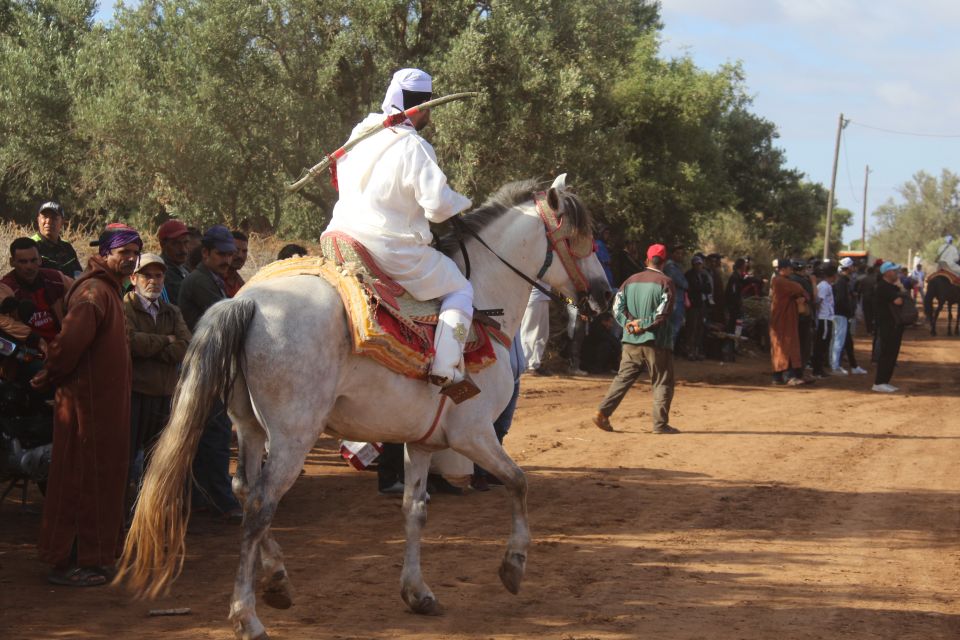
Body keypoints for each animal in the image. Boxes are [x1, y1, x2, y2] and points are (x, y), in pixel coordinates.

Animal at [116, 176, 612, 640]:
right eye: (580, 236)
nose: (606, 294)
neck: (486, 300)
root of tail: (247, 300)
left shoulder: (423, 442)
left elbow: (416, 510)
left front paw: (417, 592)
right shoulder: (473, 434)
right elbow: (519, 482)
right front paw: (514, 565)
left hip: (251, 428)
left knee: (243, 489)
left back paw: (277, 580)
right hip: (293, 437)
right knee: (259, 506)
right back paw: (247, 616)